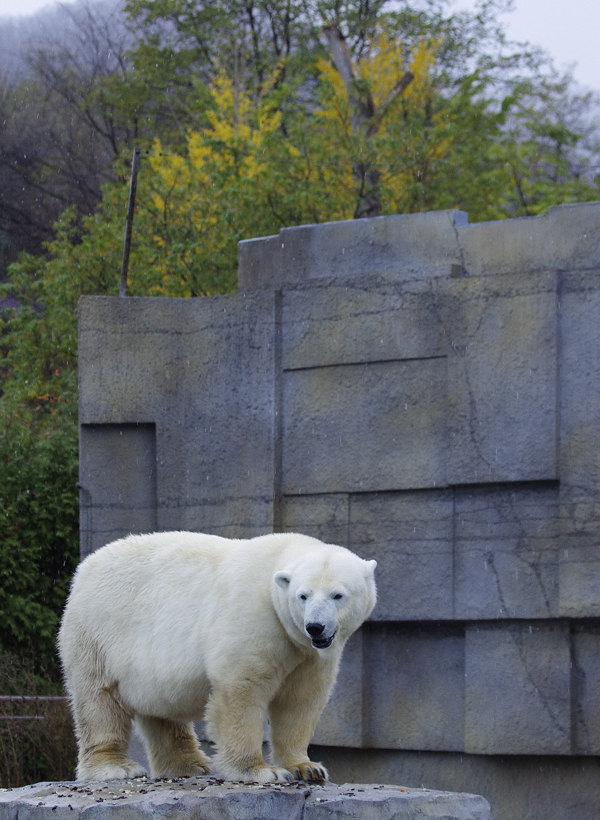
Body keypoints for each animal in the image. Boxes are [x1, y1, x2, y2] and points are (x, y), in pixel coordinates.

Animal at [57, 528, 376, 784]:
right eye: (303, 595)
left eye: (338, 595)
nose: (315, 626)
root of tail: (84, 568)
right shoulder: (255, 618)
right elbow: (243, 689)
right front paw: (261, 771)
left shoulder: (309, 655)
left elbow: (300, 701)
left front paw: (306, 767)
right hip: (99, 631)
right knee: (99, 699)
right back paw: (116, 767)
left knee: (161, 710)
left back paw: (191, 765)